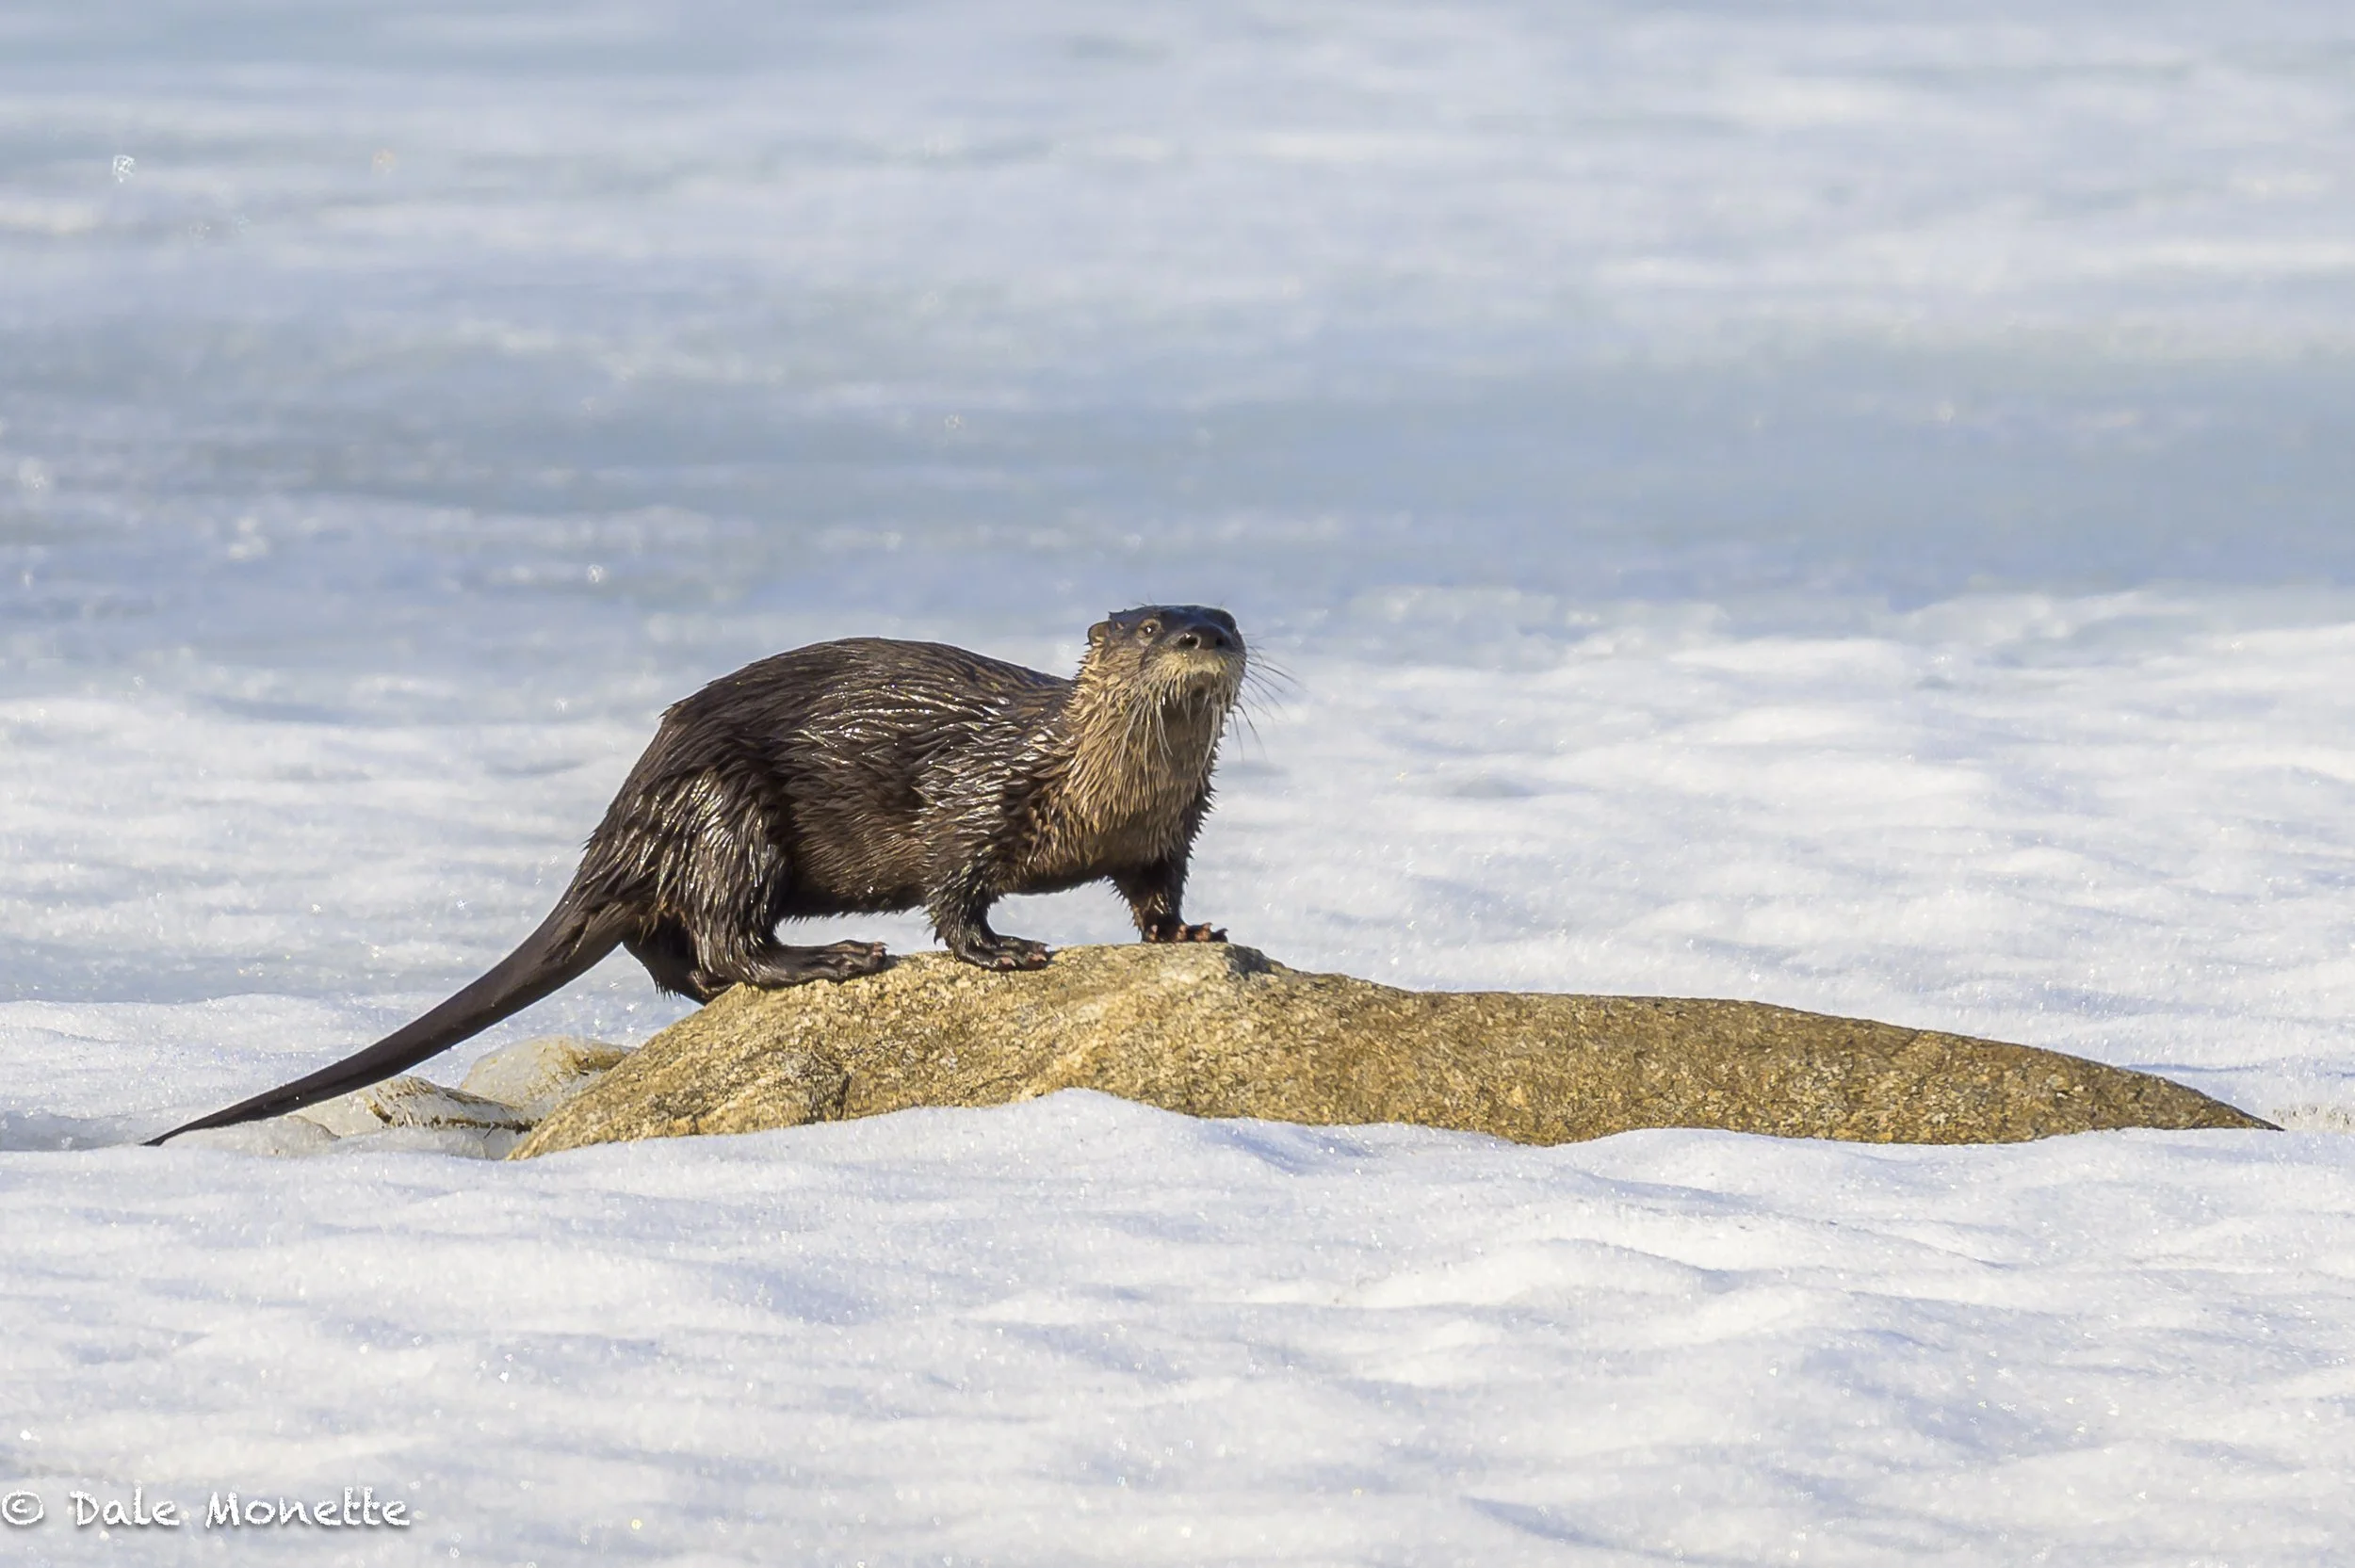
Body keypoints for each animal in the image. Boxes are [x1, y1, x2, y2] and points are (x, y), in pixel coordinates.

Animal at [147, 605, 1246, 1145]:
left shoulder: (1171, 829)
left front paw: (1188, 934)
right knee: (720, 929)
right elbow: (953, 887)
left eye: (1225, 617)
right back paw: (829, 960)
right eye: (1149, 628)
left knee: (668, 949)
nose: (1204, 638)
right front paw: (1004, 950)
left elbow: (1157, 891)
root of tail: (627, 818)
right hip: (729, 811)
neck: (1099, 782)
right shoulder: (978, 794)